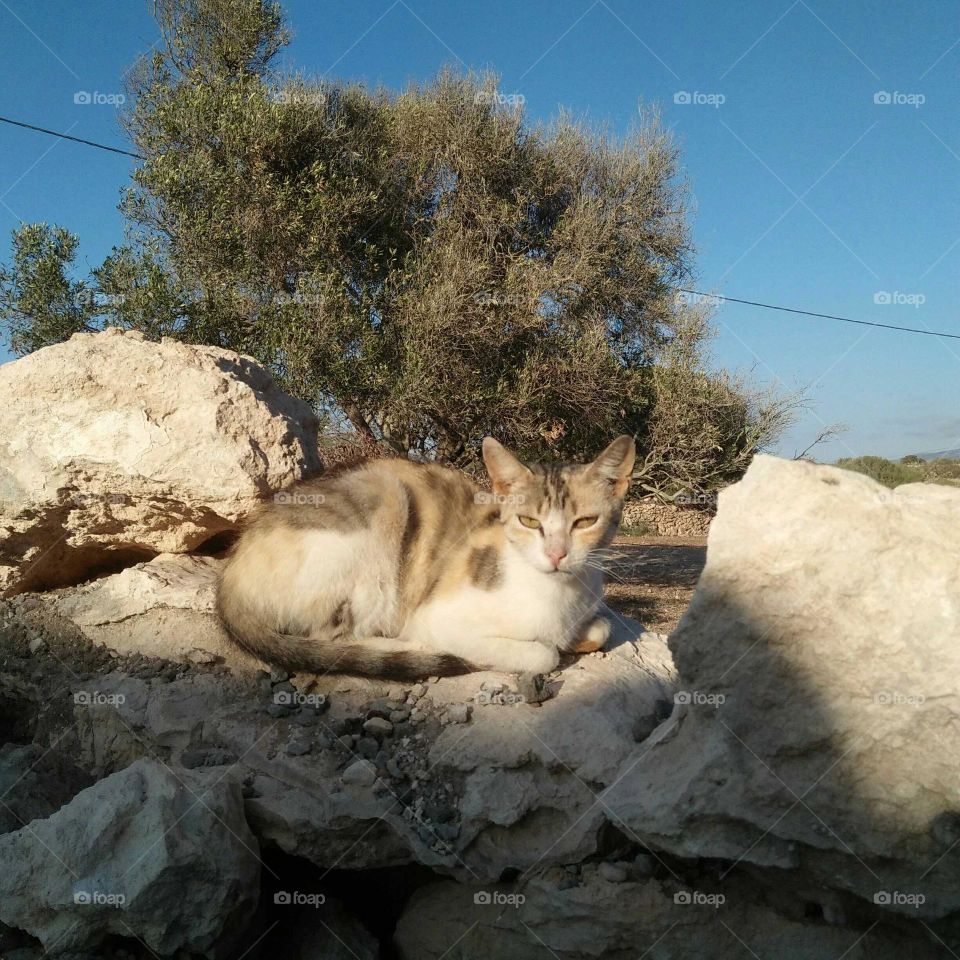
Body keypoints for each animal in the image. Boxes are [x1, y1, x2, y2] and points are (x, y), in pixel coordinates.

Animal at [218, 436, 636, 676]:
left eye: (585, 522)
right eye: (530, 521)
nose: (556, 554)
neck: (558, 595)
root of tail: (231, 571)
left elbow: (601, 629)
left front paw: (577, 638)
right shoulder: (439, 617)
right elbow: (542, 655)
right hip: (385, 496)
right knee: (333, 637)